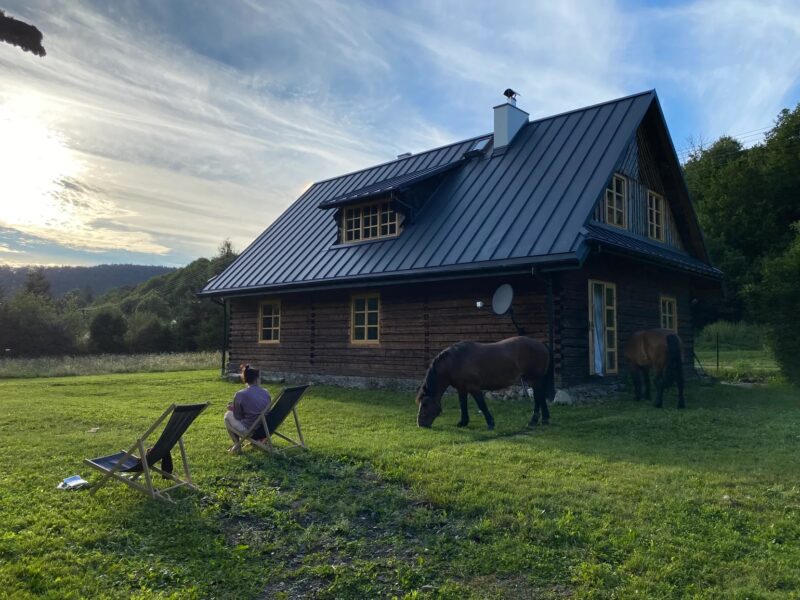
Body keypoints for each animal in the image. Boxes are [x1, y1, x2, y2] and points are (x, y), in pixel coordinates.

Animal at [416, 338, 552, 432]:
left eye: (425, 405)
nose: (420, 424)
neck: (455, 361)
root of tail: (541, 344)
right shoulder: (462, 389)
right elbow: (463, 404)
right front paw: (463, 422)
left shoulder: (474, 388)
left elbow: (481, 405)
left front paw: (490, 423)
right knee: (540, 397)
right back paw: (544, 419)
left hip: (534, 379)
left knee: (538, 398)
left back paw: (534, 421)